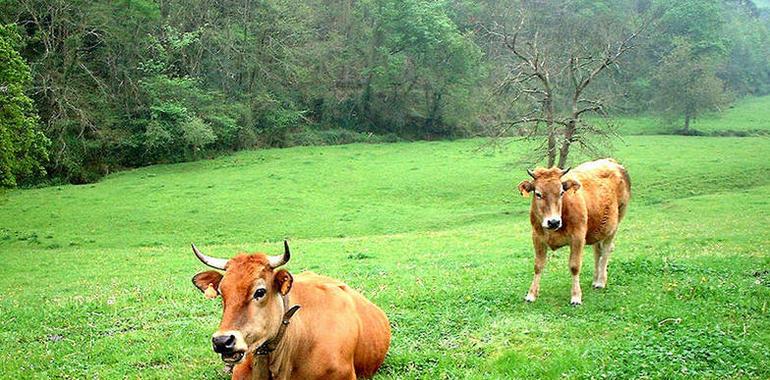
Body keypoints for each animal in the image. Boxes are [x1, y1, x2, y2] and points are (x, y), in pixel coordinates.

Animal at [516, 159, 632, 304]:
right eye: (538, 194)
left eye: (561, 192)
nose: (553, 222)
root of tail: (611, 161)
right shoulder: (537, 237)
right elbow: (538, 265)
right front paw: (531, 294)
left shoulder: (578, 238)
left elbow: (574, 266)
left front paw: (576, 296)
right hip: (598, 229)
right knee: (597, 251)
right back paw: (595, 280)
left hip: (615, 224)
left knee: (606, 251)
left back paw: (601, 281)